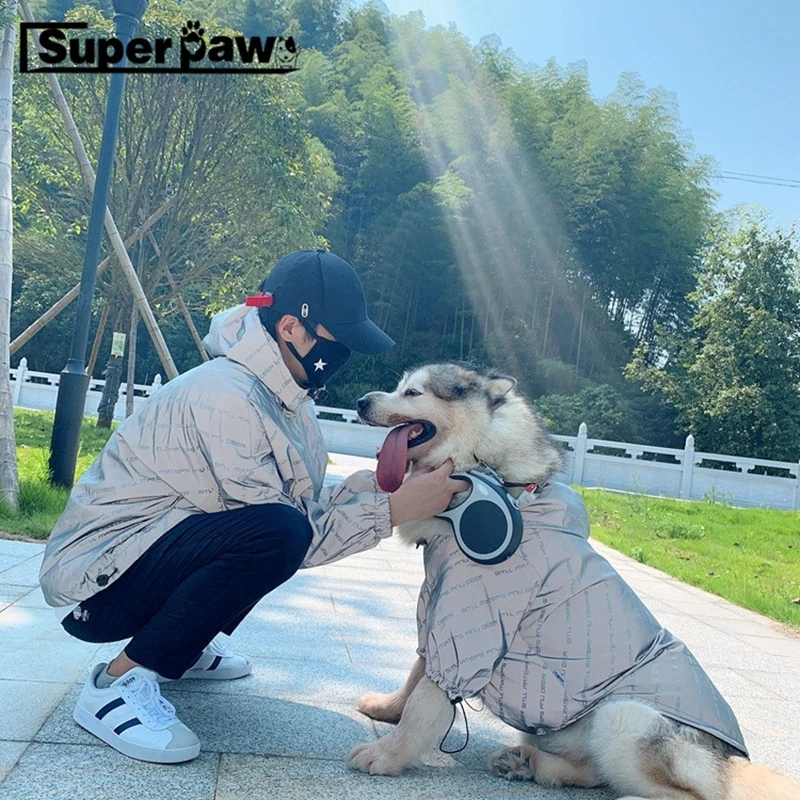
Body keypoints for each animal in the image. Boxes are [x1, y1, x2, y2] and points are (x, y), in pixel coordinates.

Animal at [349, 362, 799, 800]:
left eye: (413, 393)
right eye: (398, 387)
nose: (360, 400)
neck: (492, 481)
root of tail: (729, 764)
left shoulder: (470, 629)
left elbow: (424, 703)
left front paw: (387, 755)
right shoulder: (440, 609)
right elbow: (416, 674)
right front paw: (388, 709)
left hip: (624, 715)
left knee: (685, 792)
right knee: (593, 773)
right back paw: (528, 763)